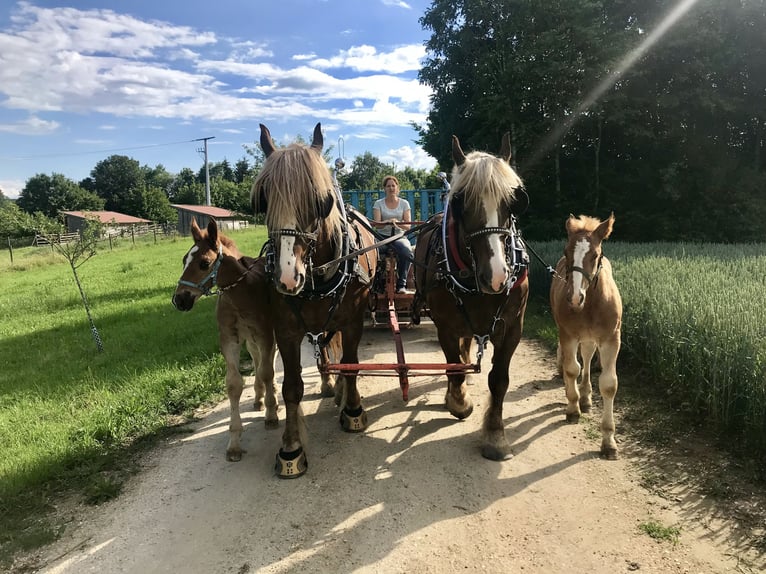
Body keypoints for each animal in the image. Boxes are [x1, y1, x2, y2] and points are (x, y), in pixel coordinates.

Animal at [252, 124, 378, 480]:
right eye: (263, 198)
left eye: (321, 201)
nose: (287, 276)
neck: (318, 276)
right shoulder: (286, 330)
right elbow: (292, 387)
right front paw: (291, 448)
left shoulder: (353, 320)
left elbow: (351, 363)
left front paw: (353, 410)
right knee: (323, 349)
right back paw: (328, 384)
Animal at [414, 135, 536, 464]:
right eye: (461, 202)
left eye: (512, 201)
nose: (496, 276)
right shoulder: (444, 324)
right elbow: (453, 363)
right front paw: (459, 403)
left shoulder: (513, 327)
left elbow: (499, 379)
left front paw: (495, 435)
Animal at [552, 214, 624, 462]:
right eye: (566, 252)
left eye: (595, 255)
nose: (575, 298)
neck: (591, 305)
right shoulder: (568, 334)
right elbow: (571, 368)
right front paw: (572, 409)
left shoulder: (611, 340)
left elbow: (609, 385)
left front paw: (609, 442)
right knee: (571, 362)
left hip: (592, 338)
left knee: (587, 355)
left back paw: (585, 397)